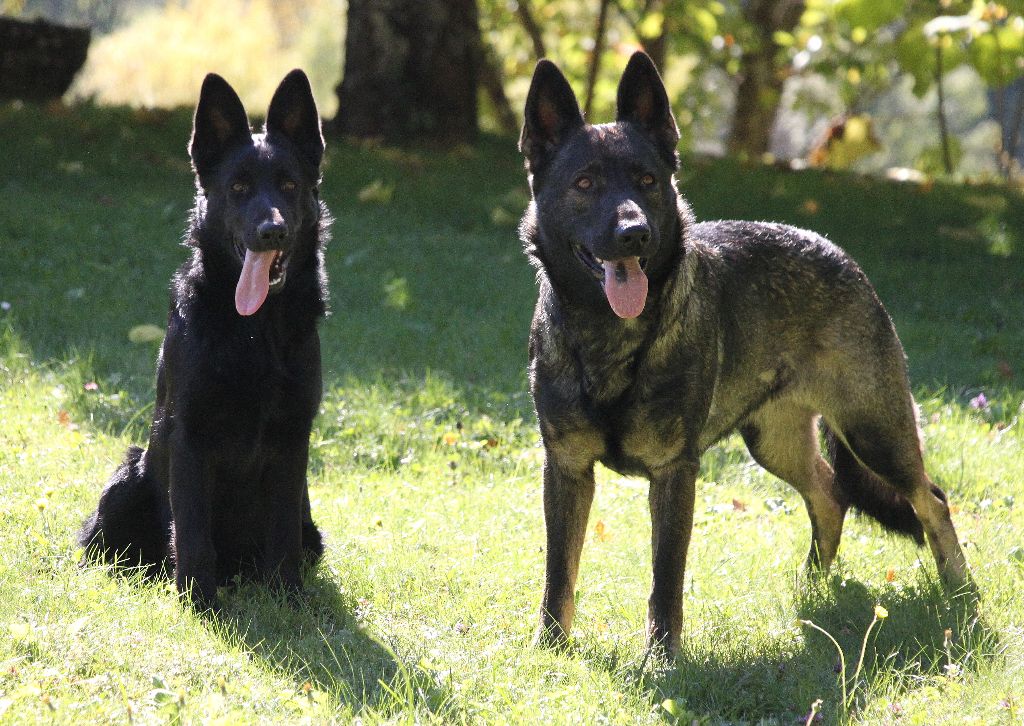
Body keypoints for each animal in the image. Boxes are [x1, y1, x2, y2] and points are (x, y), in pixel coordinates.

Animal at [79, 70, 327, 610]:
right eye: (237, 187)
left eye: (289, 185)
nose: (272, 231)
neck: (252, 330)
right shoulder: (189, 437)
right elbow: (193, 532)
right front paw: (199, 604)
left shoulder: (293, 440)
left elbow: (281, 531)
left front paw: (290, 601)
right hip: (126, 479)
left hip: (312, 523)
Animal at [516, 48, 970, 655]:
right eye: (585, 182)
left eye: (647, 180)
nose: (635, 233)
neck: (609, 338)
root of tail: (842, 257)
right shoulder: (566, 468)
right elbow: (559, 571)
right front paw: (552, 650)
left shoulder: (674, 474)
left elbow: (665, 579)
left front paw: (662, 657)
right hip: (773, 441)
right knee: (829, 493)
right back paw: (813, 589)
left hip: (874, 431)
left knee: (930, 499)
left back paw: (958, 587)